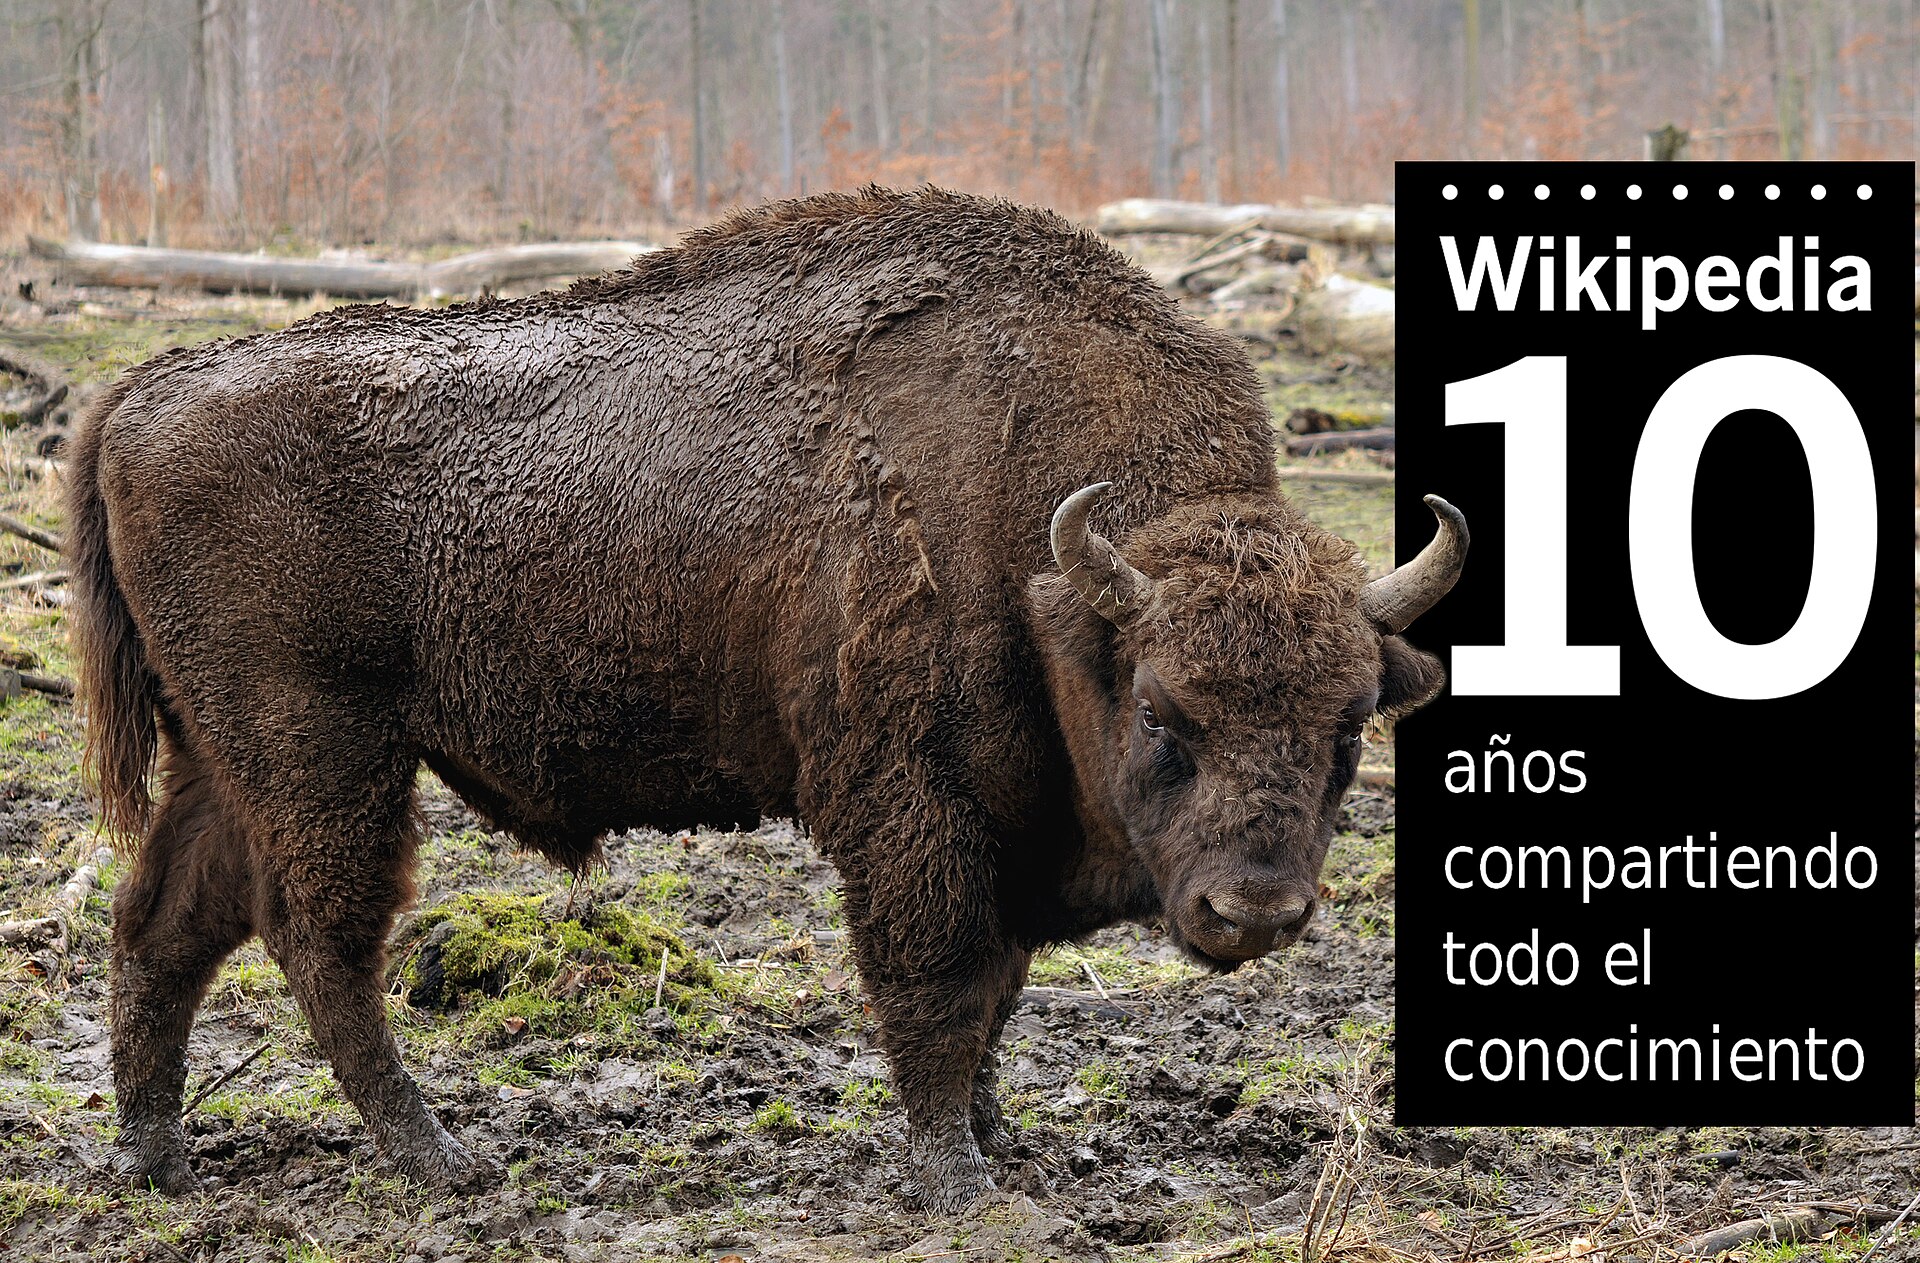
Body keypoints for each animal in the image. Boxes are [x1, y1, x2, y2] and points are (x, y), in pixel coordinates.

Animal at [68, 187, 1464, 1212]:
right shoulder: (913, 807)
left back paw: (157, 1160)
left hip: (224, 756)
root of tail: (139, 389)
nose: (1256, 911)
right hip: (325, 752)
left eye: (1351, 726)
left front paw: (995, 1141)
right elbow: (940, 983)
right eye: (1166, 713)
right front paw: (958, 1182)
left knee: (164, 923)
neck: (1049, 567)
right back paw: (442, 1160)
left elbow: (998, 992)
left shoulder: (1005, 825)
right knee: (315, 939)